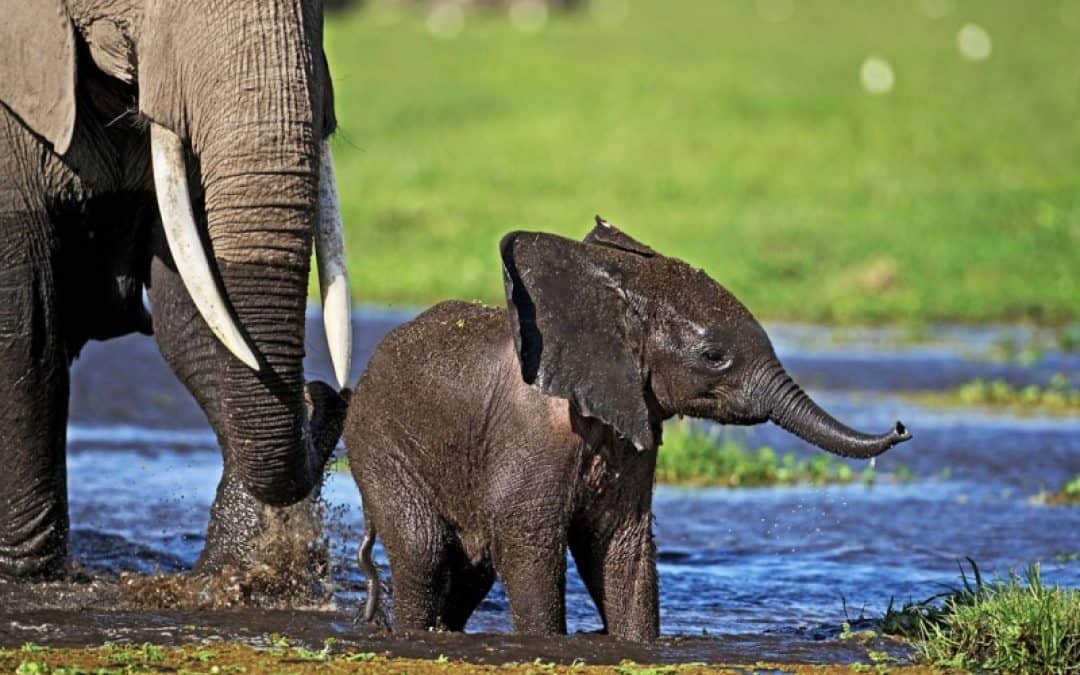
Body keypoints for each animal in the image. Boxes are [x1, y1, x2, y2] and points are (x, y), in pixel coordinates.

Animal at [347, 218, 911, 639]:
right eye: (714, 356)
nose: (903, 427)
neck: (608, 309)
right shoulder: (529, 436)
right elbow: (528, 543)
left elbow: (622, 548)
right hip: (377, 442)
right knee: (424, 551)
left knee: (471, 571)